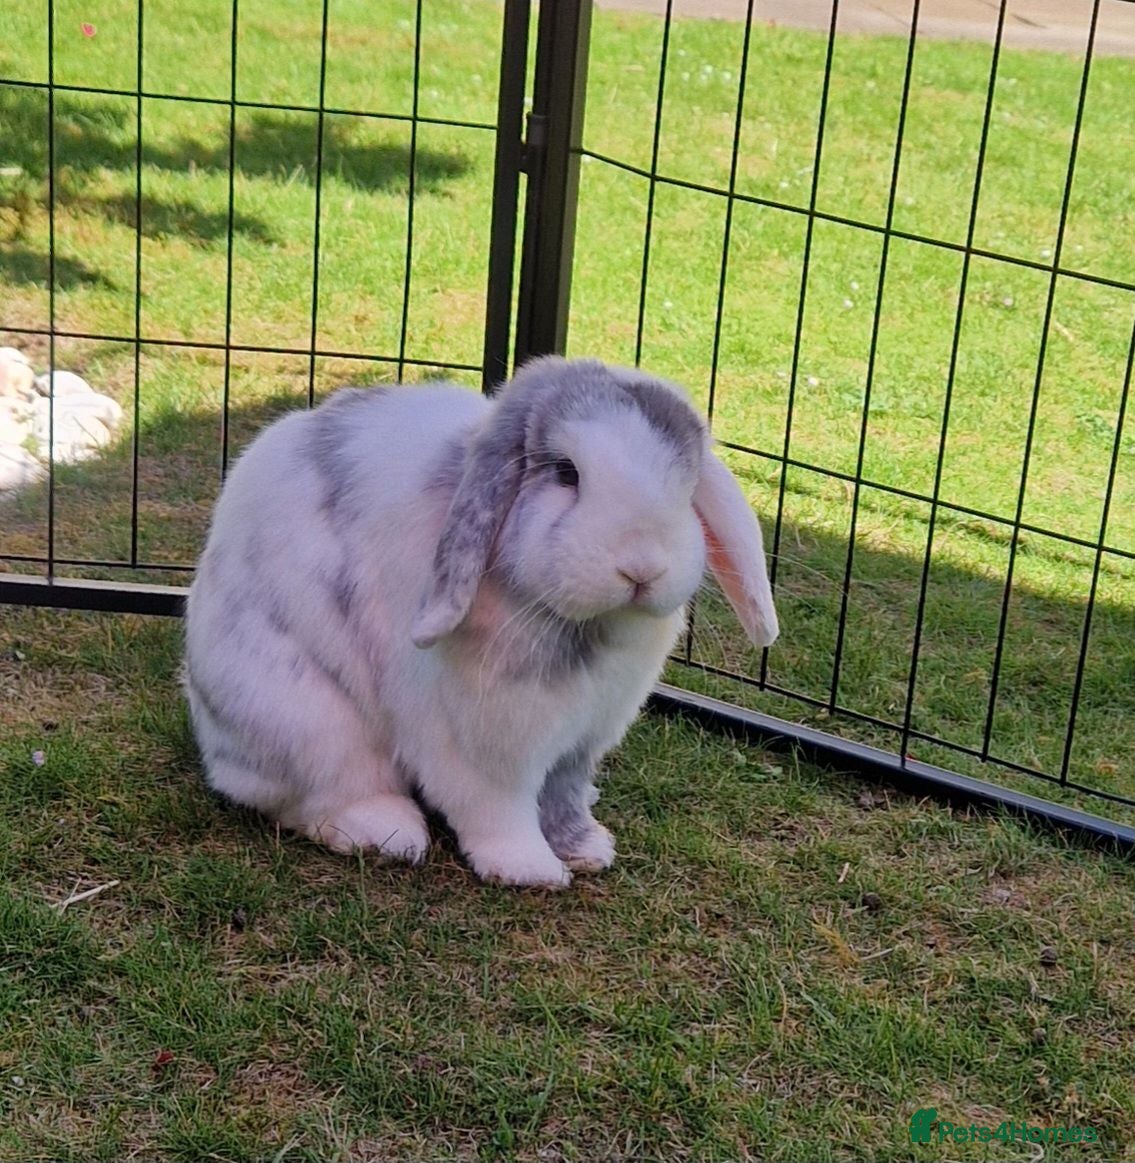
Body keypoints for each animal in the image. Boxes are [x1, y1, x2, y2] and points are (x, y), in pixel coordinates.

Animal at [183, 356, 778, 887]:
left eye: (688, 484)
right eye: (566, 473)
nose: (643, 567)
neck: (585, 631)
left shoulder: (584, 737)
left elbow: (563, 795)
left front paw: (587, 849)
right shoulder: (481, 745)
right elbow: (497, 808)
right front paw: (531, 871)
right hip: (308, 722)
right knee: (311, 796)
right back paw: (387, 833)